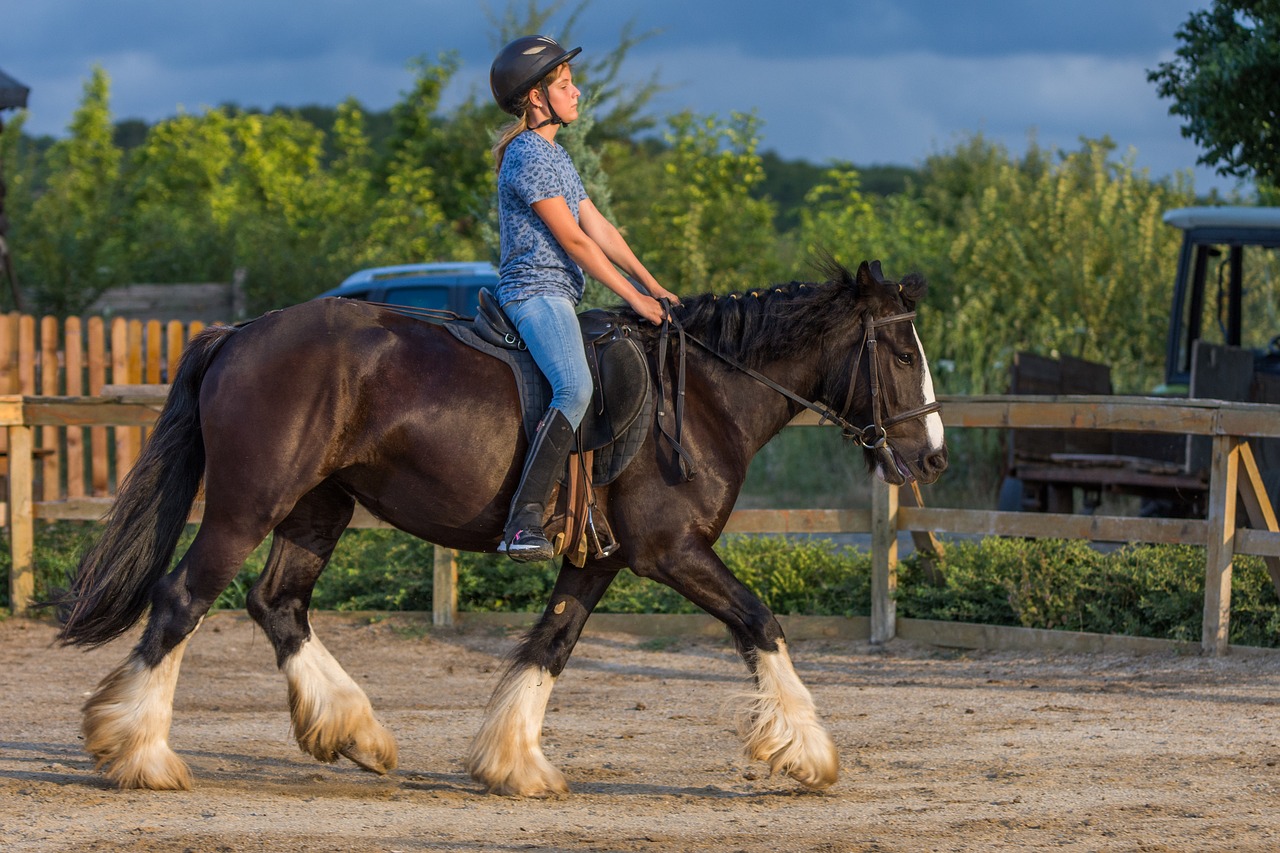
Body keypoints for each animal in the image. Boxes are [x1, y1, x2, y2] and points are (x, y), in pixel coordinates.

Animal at [52, 256, 952, 794]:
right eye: (902, 353)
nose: (933, 455)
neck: (699, 395)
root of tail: (238, 331)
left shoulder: (600, 559)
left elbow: (549, 644)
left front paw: (514, 763)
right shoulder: (672, 551)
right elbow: (761, 622)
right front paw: (808, 751)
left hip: (318, 507)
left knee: (278, 604)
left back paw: (356, 731)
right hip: (250, 505)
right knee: (182, 602)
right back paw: (139, 753)